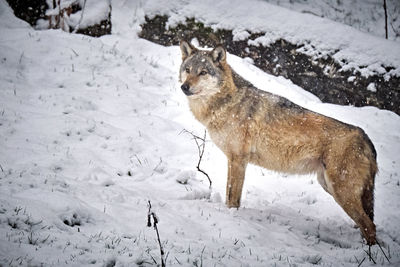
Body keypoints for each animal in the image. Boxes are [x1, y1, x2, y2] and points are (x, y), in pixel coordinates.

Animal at [179, 40, 378, 247]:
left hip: (340, 192)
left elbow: (233, 198)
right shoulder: (234, 160)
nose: (184, 87)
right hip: (329, 186)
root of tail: (366, 138)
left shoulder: (238, 160)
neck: (226, 103)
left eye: (203, 72)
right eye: (188, 70)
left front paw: (231, 217)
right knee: (367, 224)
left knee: (370, 226)